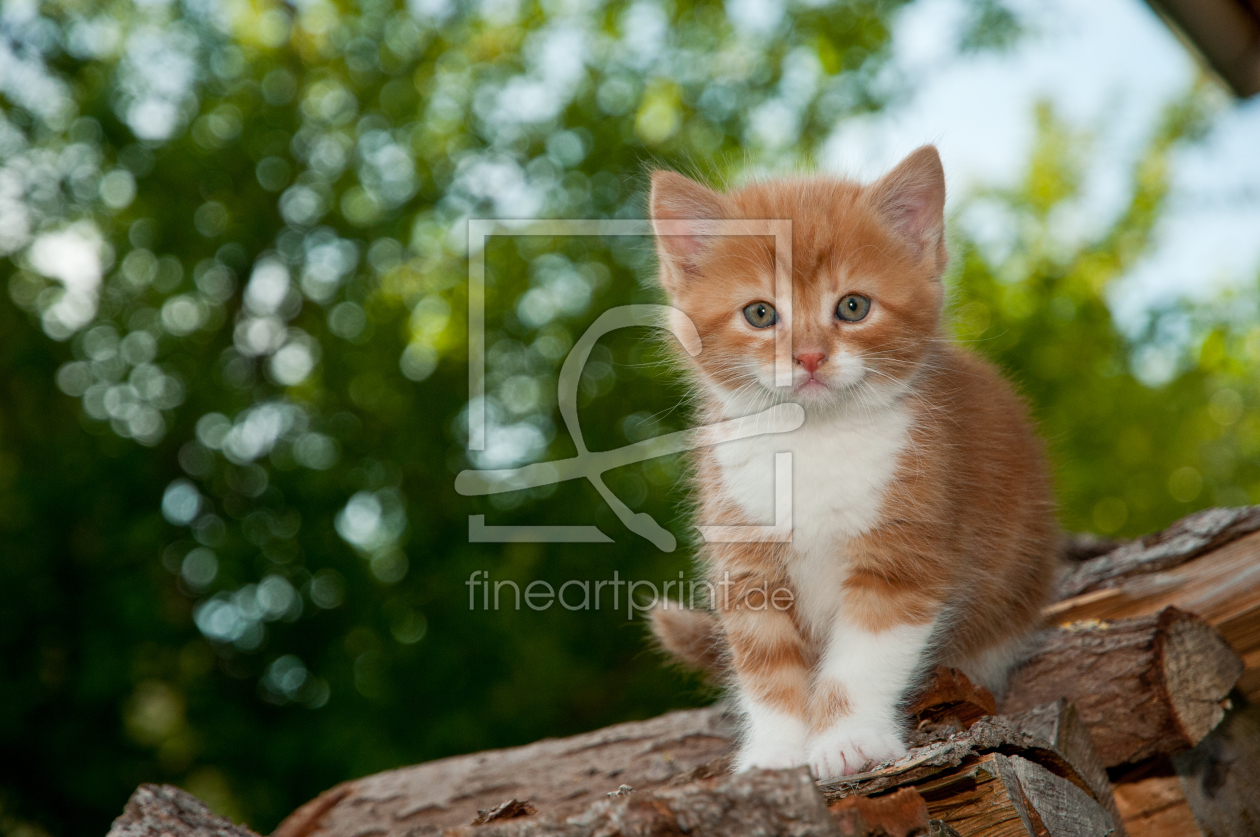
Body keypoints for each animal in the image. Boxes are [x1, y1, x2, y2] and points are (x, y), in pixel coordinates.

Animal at [650, 146, 1053, 781]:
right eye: (760, 314)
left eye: (853, 307)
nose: (810, 356)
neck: (813, 441)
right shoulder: (746, 559)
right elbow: (766, 665)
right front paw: (776, 755)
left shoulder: (905, 548)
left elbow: (864, 656)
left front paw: (848, 740)